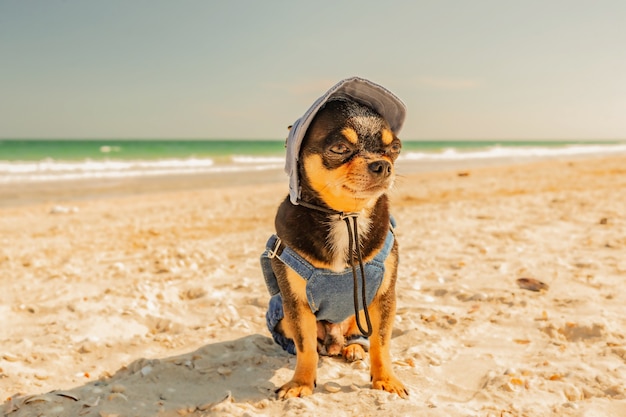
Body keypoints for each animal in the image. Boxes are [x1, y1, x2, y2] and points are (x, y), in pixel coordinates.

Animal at [260, 76, 408, 398]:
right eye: (340, 147)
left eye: (394, 148)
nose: (383, 164)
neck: (346, 216)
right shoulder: (295, 303)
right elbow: (305, 347)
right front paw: (301, 383)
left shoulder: (383, 297)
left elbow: (381, 342)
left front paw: (385, 379)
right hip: (281, 316)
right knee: (311, 345)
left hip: (359, 312)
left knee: (358, 338)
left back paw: (352, 349)